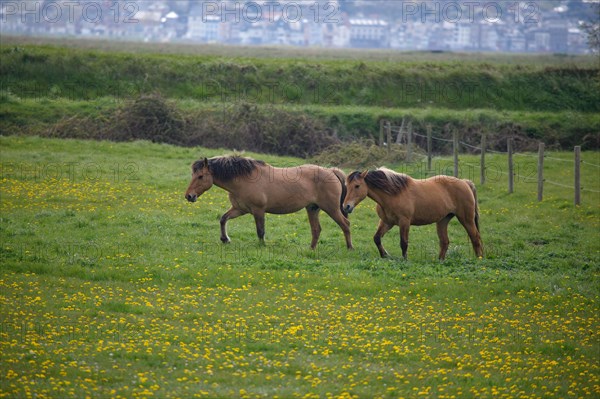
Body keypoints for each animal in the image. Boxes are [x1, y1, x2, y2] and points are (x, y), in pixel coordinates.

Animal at [183, 157, 352, 248]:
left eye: (200, 176)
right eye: (193, 175)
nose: (189, 196)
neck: (243, 179)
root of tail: (331, 171)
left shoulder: (258, 210)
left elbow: (260, 231)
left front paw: (262, 246)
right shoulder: (239, 209)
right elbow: (223, 219)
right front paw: (225, 239)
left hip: (331, 208)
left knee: (345, 225)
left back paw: (349, 248)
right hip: (313, 208)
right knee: (316, 230)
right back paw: (310, 249)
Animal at [342, 168, 482, 260]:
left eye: (357, 186)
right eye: (347, 186)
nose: (346, 207)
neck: (393, 193)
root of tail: (465, 182)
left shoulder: (404, 222)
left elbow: (403, 243)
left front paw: (405, 260)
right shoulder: (387, 222)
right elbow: (376, 238)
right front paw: (385, 255)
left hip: (466, 219)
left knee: (475, 238)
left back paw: (479, 260)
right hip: (443, 220)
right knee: (445, 242)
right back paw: (440, 261)